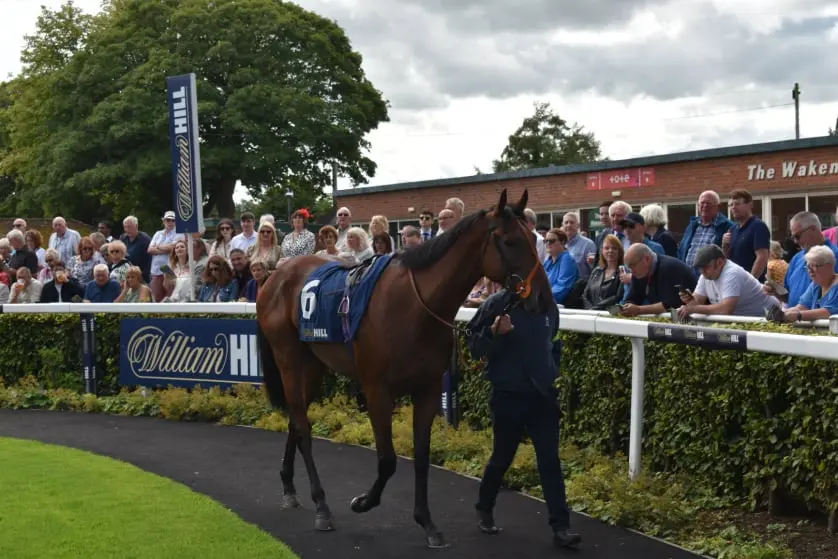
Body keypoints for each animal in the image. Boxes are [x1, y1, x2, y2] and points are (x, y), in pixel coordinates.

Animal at [256, 190, 556, 548]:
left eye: (535, 238)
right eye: (511, 241)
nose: (543, 300)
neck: (416, 305)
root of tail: (275, 276)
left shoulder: (428, 389)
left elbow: (422, 457)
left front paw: (427, 523)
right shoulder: (377, 391)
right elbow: (387, 460)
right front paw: (363, 502)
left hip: (314, 365)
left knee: (296, 421)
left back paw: (289, 486)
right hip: (288, 358)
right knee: (302, 426)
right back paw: (321, 507)